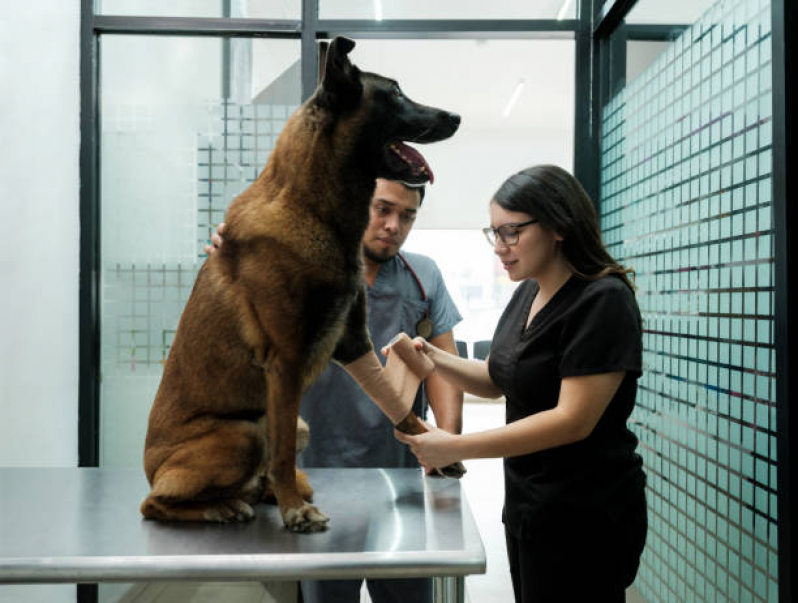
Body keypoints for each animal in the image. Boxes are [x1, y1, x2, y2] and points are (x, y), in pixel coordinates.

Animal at [141, 37, 460, 532]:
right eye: (395, 93)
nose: (456, 117)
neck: (312, 207)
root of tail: (150, 468)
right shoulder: (285, 361)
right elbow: (284, 453)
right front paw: (296, 509)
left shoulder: (353, 342)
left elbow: (397, 405)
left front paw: (436, 445)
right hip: (243, 431)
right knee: (155, 504)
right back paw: (223, 505)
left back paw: (258, 494)